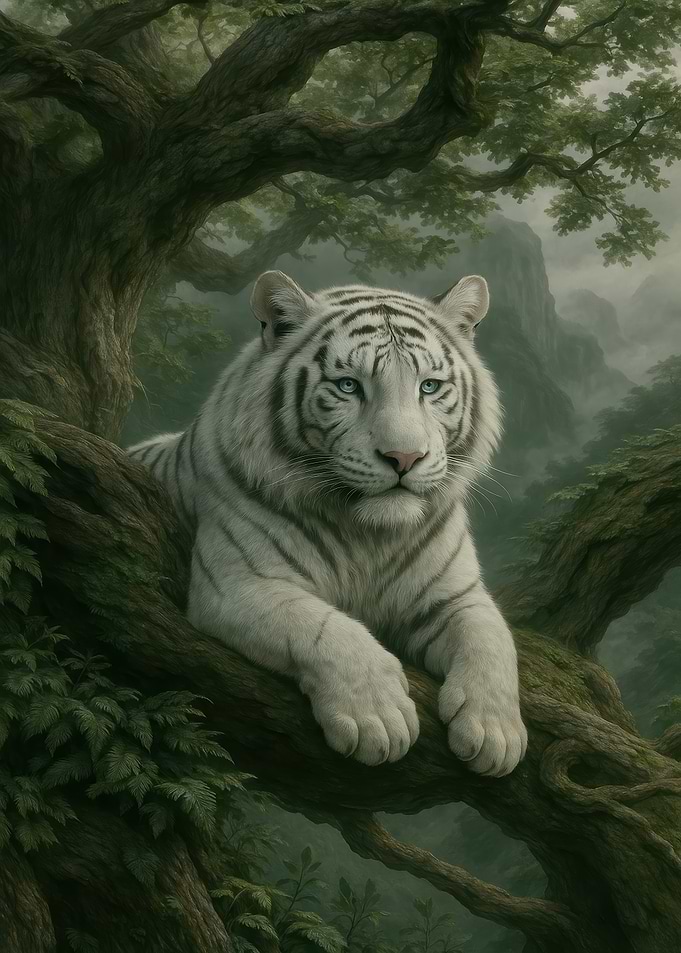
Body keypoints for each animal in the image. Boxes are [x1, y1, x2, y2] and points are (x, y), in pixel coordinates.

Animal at [128, 270, 527, 777]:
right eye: (349, 386)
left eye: (430, 387)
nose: (404, 457)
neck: (371, 535)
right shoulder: (239, 584)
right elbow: (325, 628)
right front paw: (377, 718)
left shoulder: (456, 596)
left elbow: (492, 640)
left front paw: (496, 733)